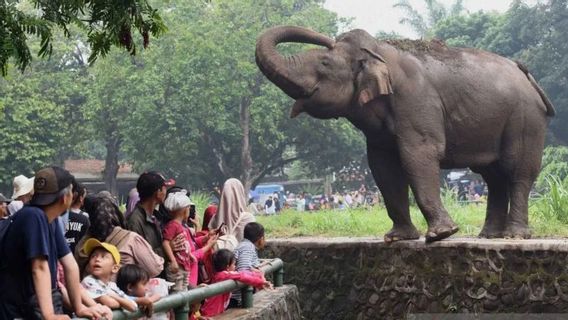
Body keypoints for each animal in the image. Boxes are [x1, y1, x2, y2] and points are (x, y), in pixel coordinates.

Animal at [256, 26, 556, 242]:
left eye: (324, 63)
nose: (327, 38)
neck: (379, 52)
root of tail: (528, 75)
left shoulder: (416, 100)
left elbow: (418, 155)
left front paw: (441, 235)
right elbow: (382, 166)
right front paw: (397, 238)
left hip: (525, 119)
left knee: (517, 171)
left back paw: (515, 235)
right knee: (493, 176)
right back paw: (489, 236)